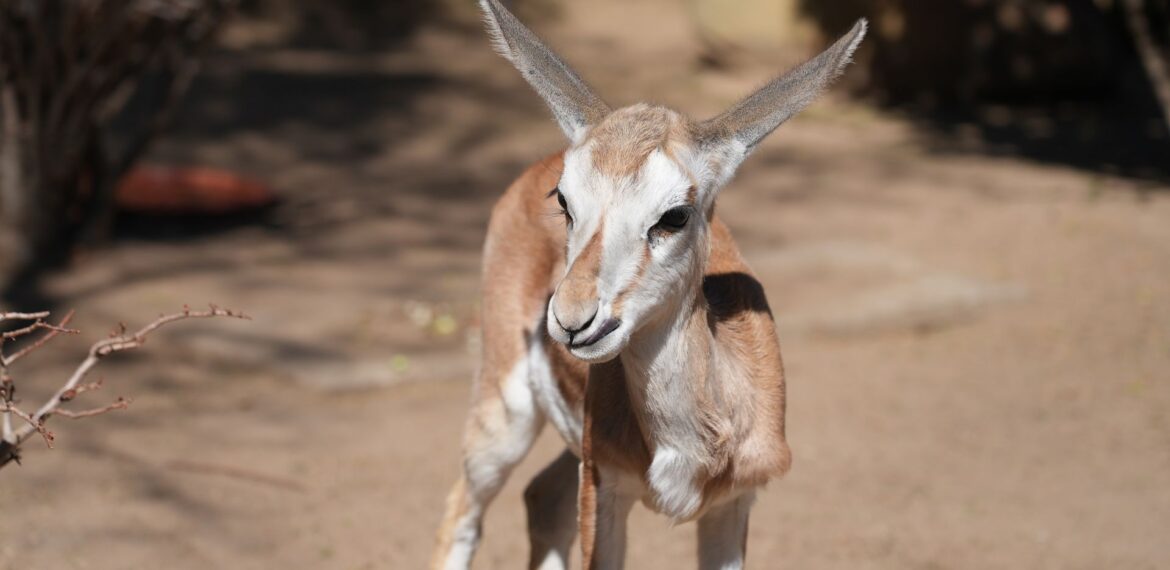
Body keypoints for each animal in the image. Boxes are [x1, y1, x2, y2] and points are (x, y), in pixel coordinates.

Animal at [431, 2, 866, 568]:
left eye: (675, 214)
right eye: (563, 200)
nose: (572, 321)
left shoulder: (734, 504)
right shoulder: (605, 489)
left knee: (541, 496)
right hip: (504, 416)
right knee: (463, 510)